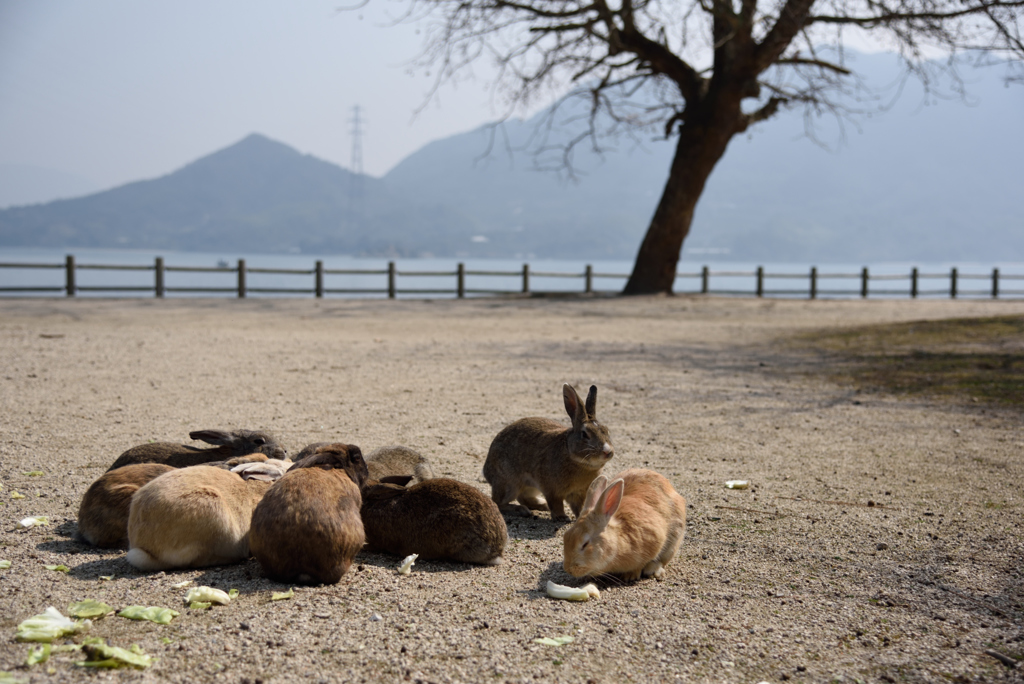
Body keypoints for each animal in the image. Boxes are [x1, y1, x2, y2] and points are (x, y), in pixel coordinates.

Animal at [481, 382, 610, 520]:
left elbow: (579, 506)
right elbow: (556, 504)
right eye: (585, 434)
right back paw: (521, 510)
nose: (607, 452)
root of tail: (486, 471)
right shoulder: (552, 490)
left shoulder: (579, 493)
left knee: (523, 497)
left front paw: (581, 516)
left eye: (607, 430)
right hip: (510, 484)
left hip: (530, 487)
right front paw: (562, 517)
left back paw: (541, 505)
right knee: (498, 502)